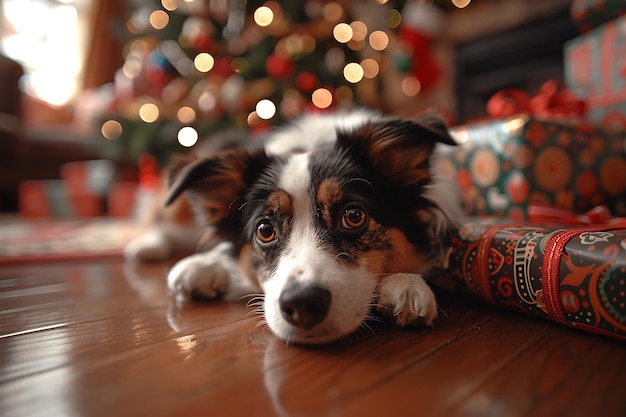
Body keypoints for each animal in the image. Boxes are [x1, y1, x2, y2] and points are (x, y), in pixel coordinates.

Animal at [124, 108, 460, 344]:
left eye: (354, 216)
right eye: (265, 230)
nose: (302, 304)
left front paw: (405, 282)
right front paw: (204, 265)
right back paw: (147, 246)